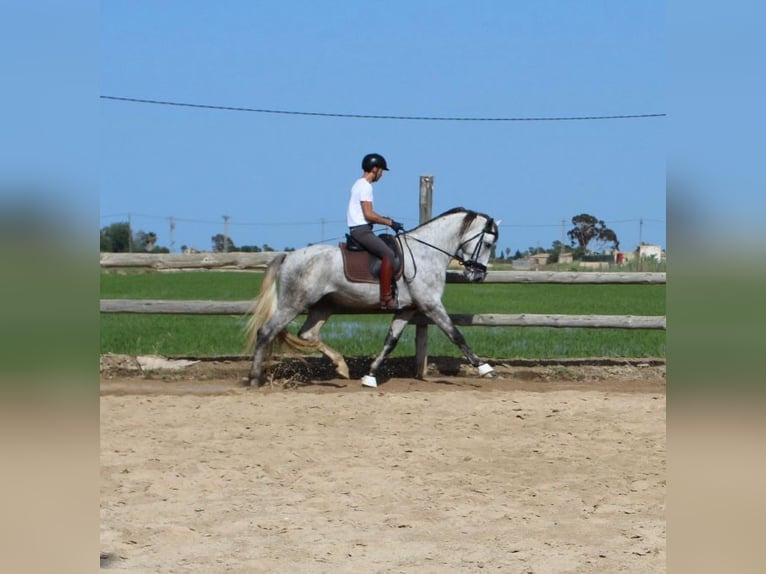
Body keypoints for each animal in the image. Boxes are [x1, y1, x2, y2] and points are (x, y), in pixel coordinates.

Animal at [243, 207, 500, 388]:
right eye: (488, 243)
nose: (478, 275)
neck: (426, 252)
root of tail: (288, 256)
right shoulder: (431, 305)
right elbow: (456, 335)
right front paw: (485, 368)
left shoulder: (407, 309)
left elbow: (390, 341)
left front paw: (370, 375)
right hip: (293, 304)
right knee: (266, 332)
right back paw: (254, 378)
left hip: (324, 305)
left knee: (308, 333)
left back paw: (342, 367)